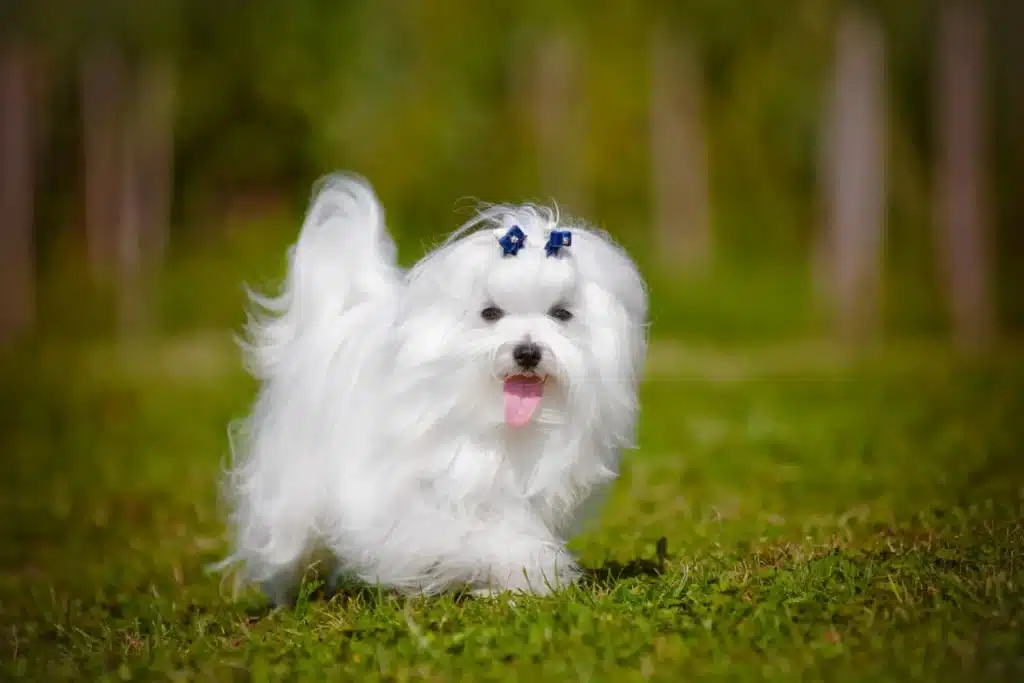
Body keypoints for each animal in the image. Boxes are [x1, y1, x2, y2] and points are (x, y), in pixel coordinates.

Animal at [215, 172, 647, 602]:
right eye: (490, 313)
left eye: (561, 313)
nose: (527, 352)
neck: (496, 421)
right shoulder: (409, 502)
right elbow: (474, 535)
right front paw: (527, 566)